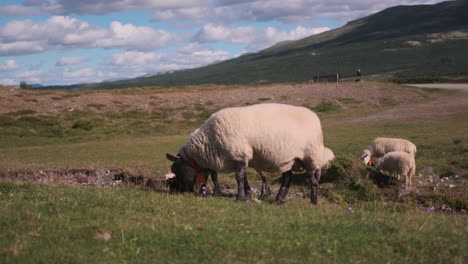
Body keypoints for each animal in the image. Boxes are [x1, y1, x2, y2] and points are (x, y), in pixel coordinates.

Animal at [166, 103, 334, 204]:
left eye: (175, 169)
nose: (178, 191)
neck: (208, 141)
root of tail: (315, 117)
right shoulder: (239, 159)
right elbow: (244, 178)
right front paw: (247, 196)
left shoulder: (240, 154)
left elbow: (239, 177)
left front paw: (240, 199)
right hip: (288, 159)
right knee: (288, 178)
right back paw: (278, 200)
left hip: (311, 155)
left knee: (313, 178)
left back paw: (313, 201)